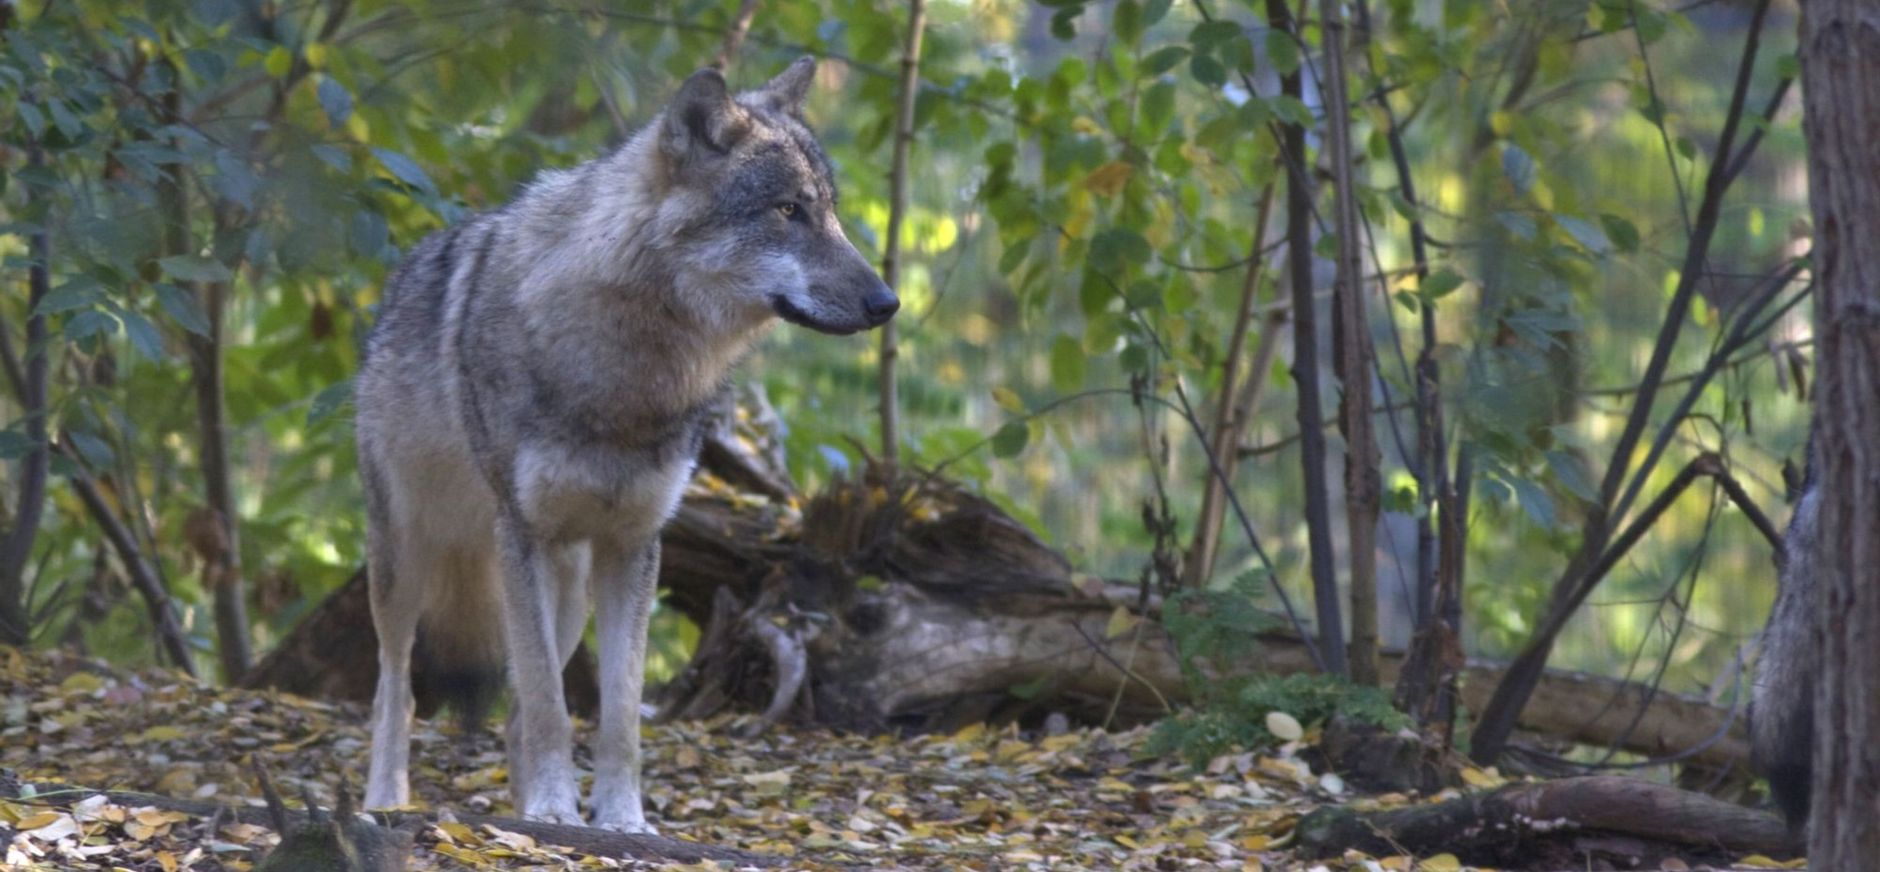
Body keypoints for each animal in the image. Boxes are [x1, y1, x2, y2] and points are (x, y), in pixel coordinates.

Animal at [355, 57, 897, 831]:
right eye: (788, 211)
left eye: (829, 211)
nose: (889, 303)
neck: (631, 371)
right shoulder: (523, 535)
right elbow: (551, 709)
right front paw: (557, 811)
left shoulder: (635, 545)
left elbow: (615, 715)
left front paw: (616, 818)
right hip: (408, 563)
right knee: (397, 685)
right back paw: (388, 799)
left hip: (568, 590)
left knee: (517, 707)